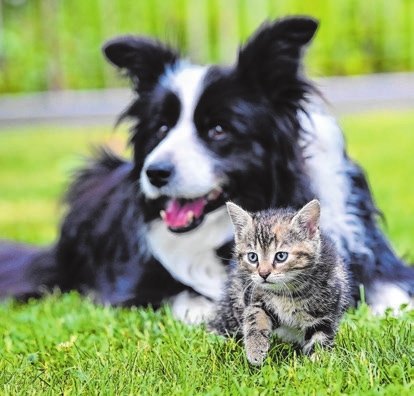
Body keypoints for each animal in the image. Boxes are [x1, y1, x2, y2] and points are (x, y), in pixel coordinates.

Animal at [0, 17, 412, 324]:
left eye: (218, 129)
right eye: (161, 128)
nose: (155, 173)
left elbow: (392, 292)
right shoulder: (135, 283)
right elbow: (188, 296)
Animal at [210, 201, 350, 366]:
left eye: (281, 256)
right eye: (252, 257)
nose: (263, 274)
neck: (288, 291)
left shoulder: (325, 313)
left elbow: (320, 338)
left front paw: (318, 364)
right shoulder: (254, 296)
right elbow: (255, 316)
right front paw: (255, 348)